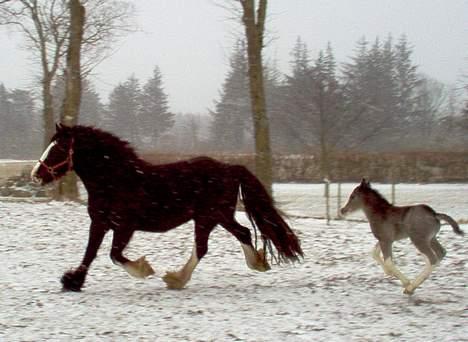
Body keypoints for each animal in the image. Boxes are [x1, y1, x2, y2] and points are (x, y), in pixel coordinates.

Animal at [32, 124, 304, 290]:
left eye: (57, 148)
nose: (36, 175)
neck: (116, 180)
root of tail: (230, 168)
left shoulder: (124, 226)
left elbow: (115, 255)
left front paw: (144, 269)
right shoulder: (99, 223)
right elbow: (90, 253)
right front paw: (72, 282)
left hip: (210, 216)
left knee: (211, 244)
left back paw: (176, 279)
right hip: (216, 217)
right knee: (239, 234)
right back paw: (255, 264)